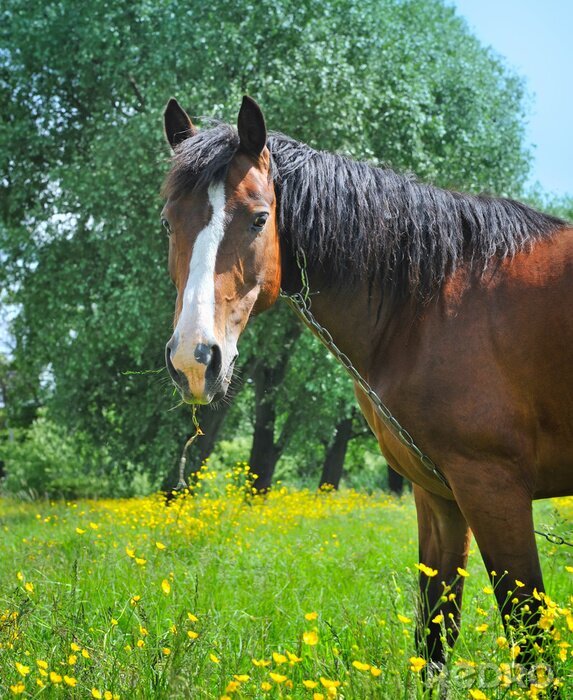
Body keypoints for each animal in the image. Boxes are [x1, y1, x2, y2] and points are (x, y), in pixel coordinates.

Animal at [160, 94, 572, 672]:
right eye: (168, 222)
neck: (431, 303)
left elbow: (532, 644)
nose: (195, 360)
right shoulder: (439, 497)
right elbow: (434, 641)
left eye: (260, 218)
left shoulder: (494, 490)